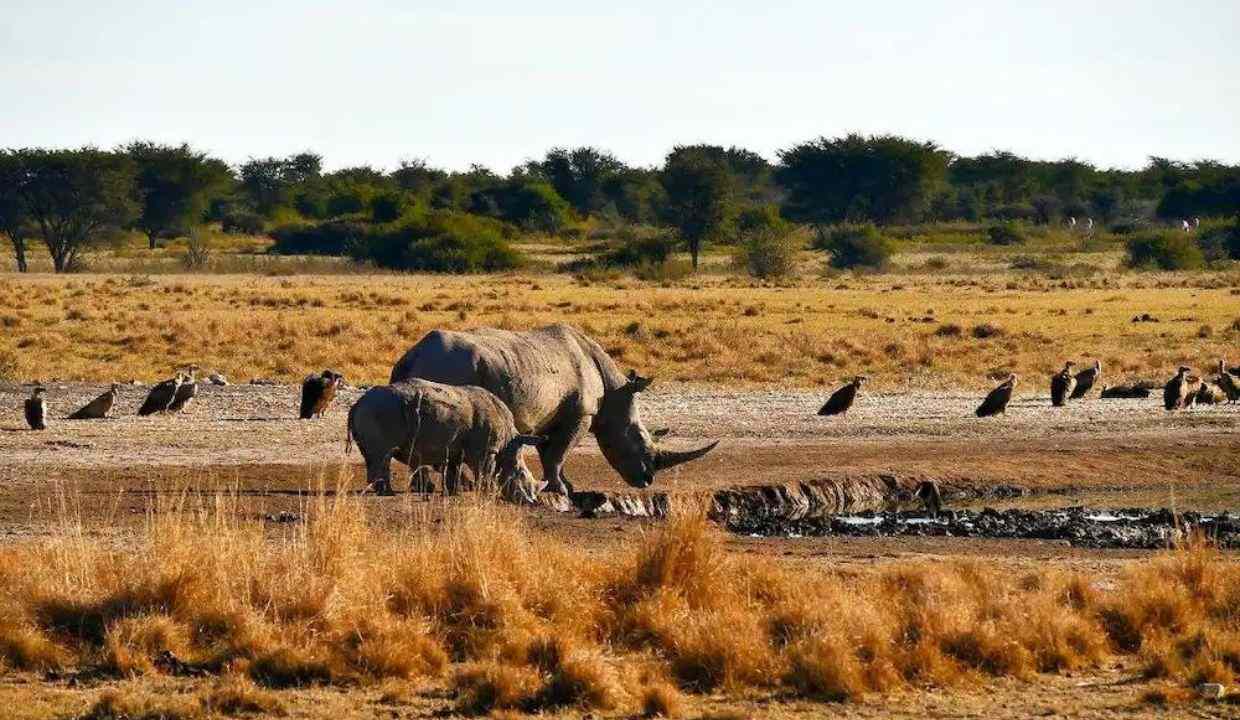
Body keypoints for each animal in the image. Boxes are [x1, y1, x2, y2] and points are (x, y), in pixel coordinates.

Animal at [346, 379, 543, 501]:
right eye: (522, 475)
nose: (531, 502)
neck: (508, 445)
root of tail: (356, 404)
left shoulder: (456, 449)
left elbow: (454, 469)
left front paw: (454, 493)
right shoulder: (487, 450)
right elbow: (485, 471)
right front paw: (487, 492)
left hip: (375, 408)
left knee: (374, 456)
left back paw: (381, 491)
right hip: (380, 409)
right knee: (383, 454)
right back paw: (388, 493)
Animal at [389, 323, 718, 494]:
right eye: (638, 439)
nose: (647, 481)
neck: (614, 391)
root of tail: (413, 353)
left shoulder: (553, 415)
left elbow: (550, 452)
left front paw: (564, 485)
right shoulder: (581, 414)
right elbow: (558, 453)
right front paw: (561, 489)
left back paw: (429, 488)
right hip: (449, 366)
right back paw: (445, 487)